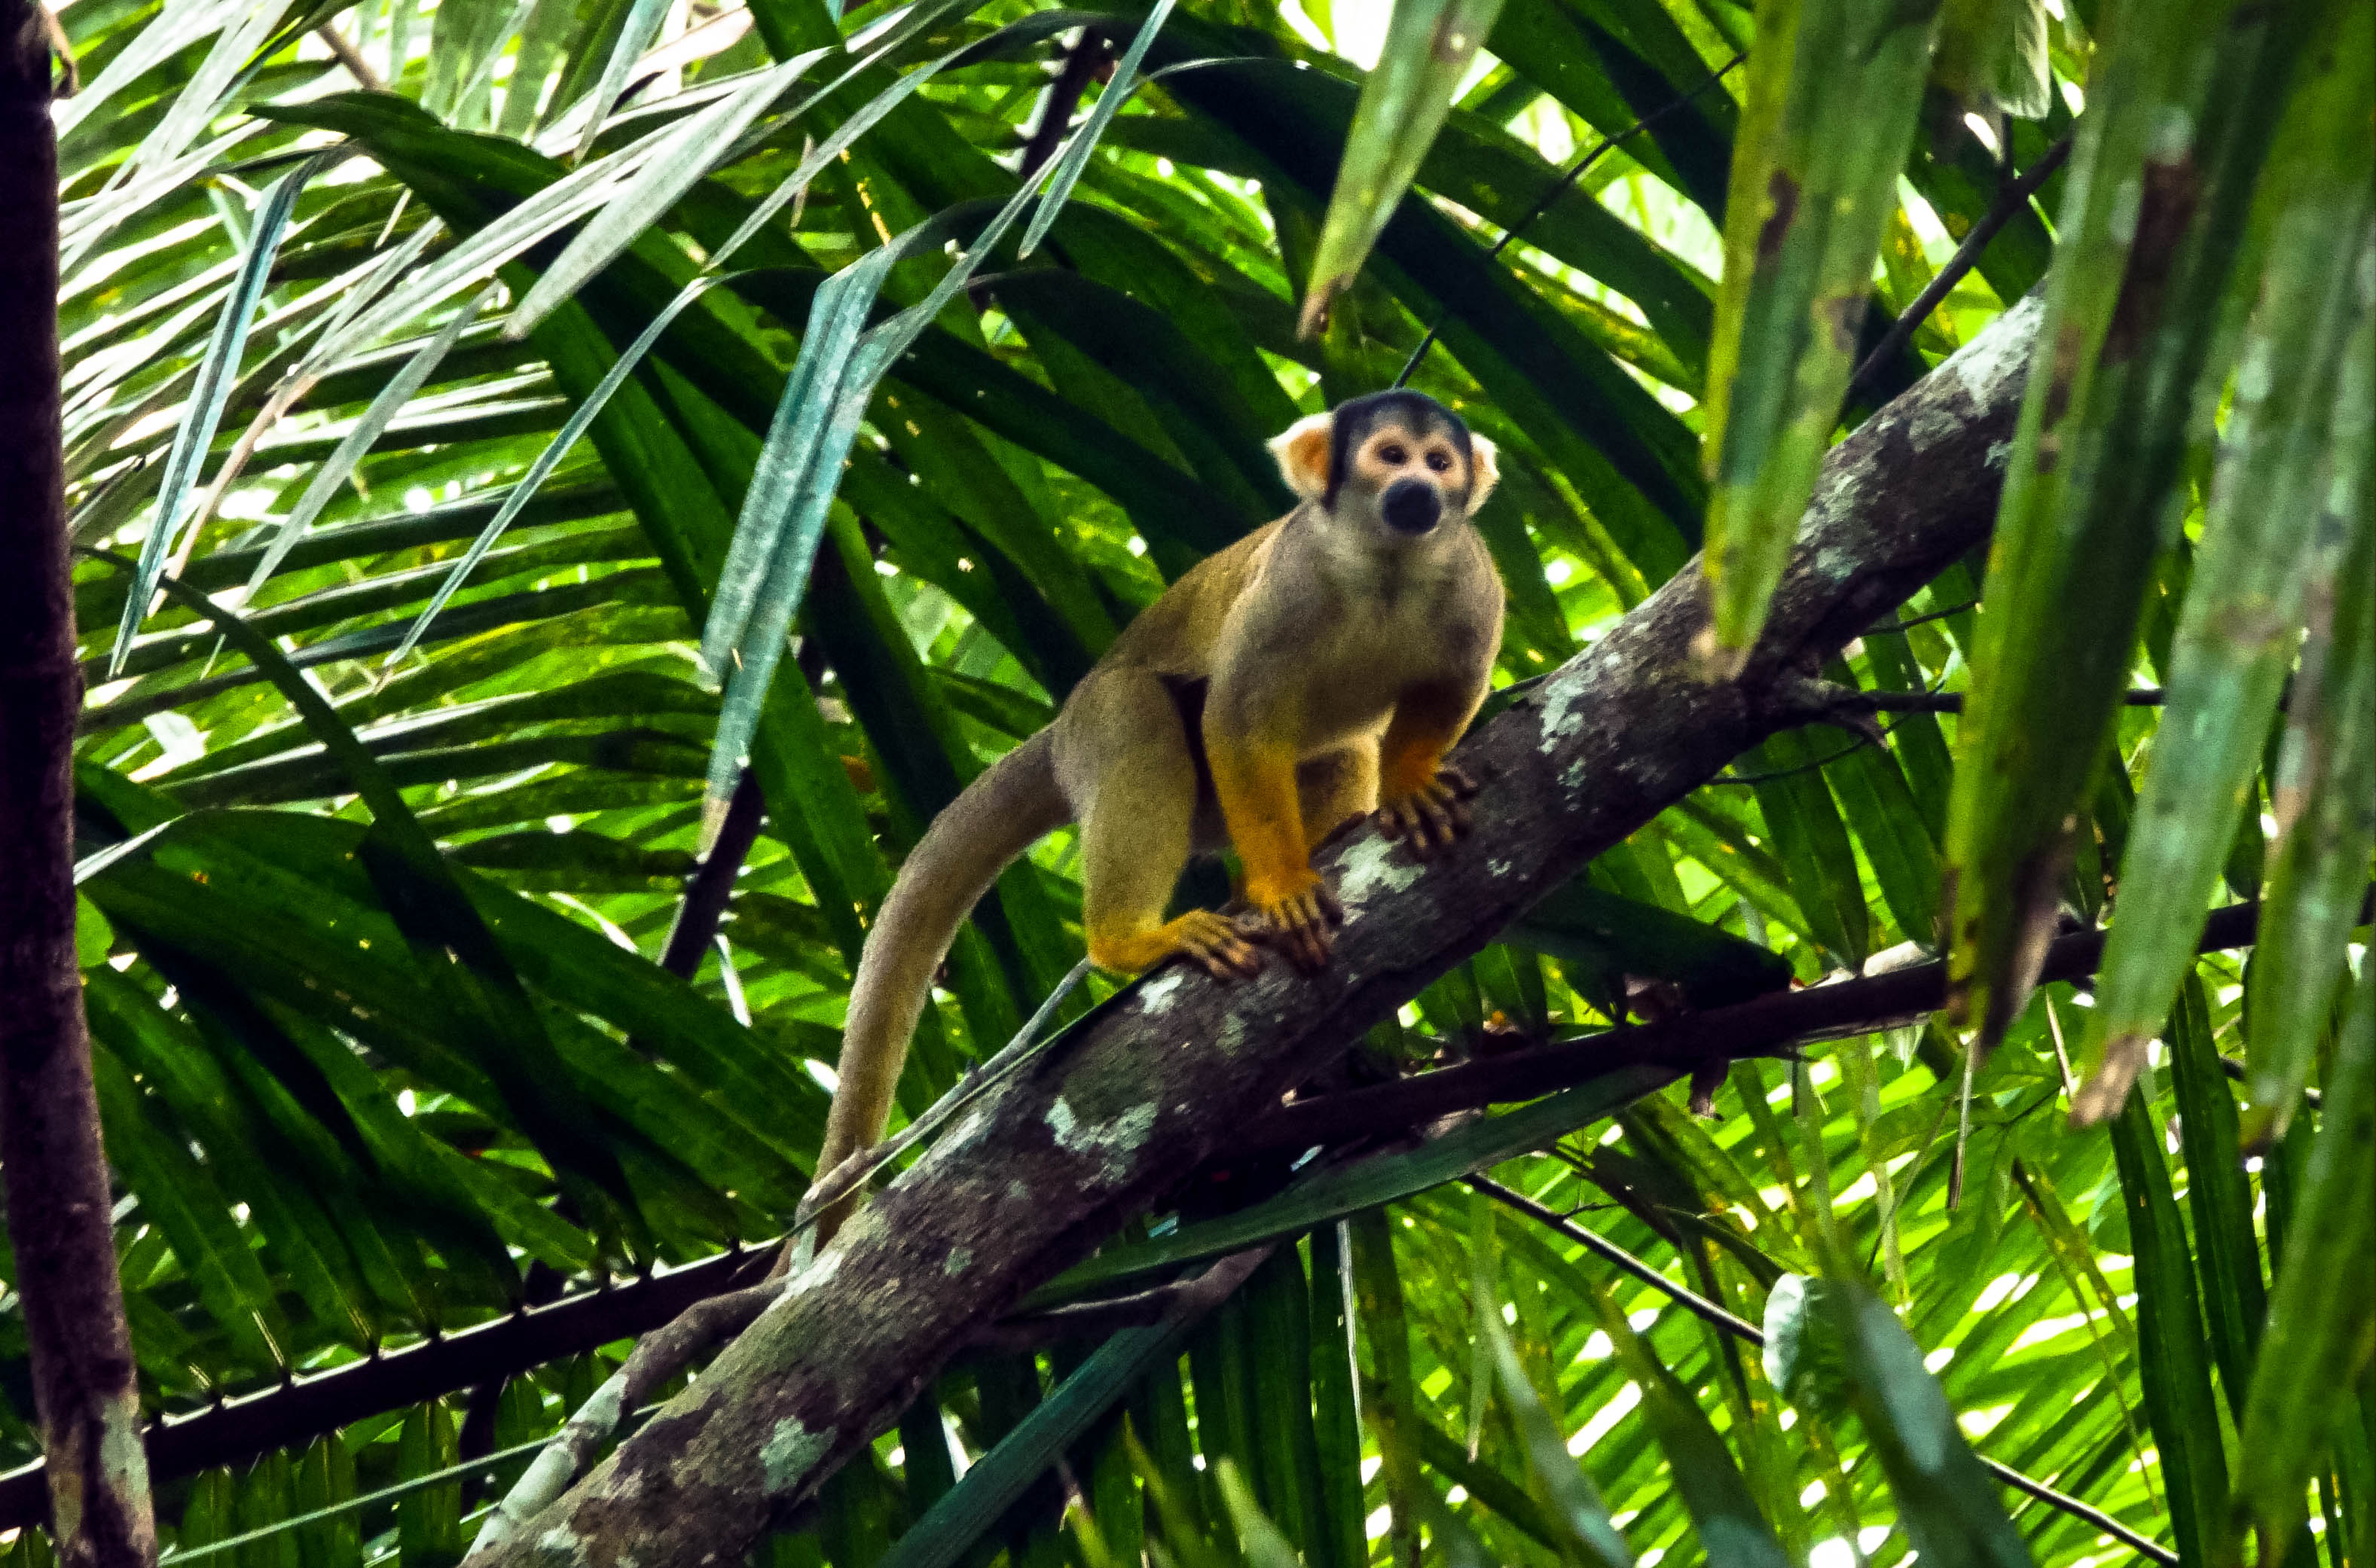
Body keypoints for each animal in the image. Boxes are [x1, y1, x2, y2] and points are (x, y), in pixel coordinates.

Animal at [808, 390, 1504, 1236]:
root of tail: (1059, 732)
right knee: (1139, 719)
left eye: (1440, 462)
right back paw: (1132, 939)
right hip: (1098, 727)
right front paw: (1282, 888)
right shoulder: (1288, 585)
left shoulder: (1470, 573)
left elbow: (1452, 684)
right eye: (1391, 456)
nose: (1420, 492)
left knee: (1337, 750)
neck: (1387, 569)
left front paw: (1408, 782)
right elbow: (1239, 723)